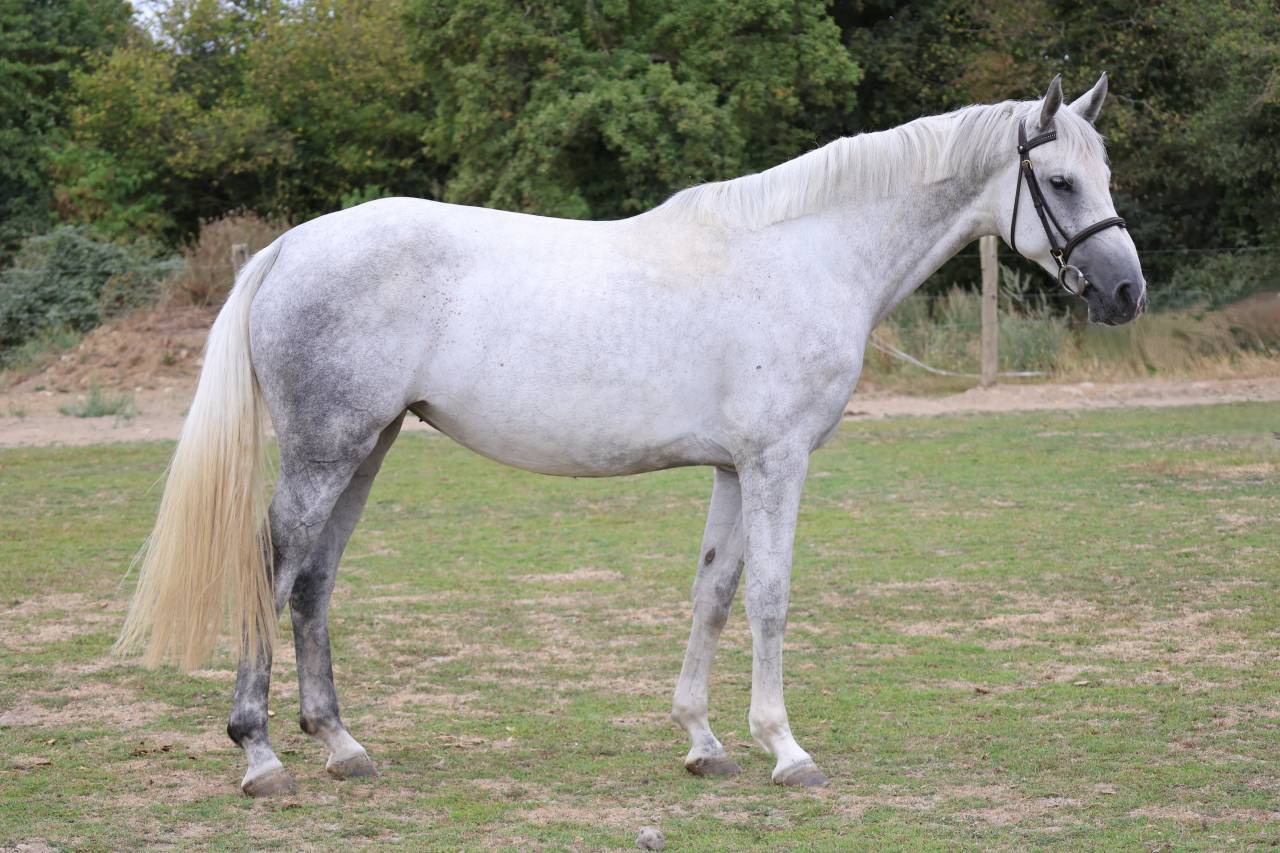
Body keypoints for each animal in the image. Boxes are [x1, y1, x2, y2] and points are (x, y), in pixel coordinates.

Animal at [117, 74, 1145, 796]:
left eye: (1104, 175)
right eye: (1058, 180)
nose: (1126, 290)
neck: (806, 253)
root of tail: (291, 245)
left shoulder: (734, 468)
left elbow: (715, 595)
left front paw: (705, 742)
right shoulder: (776, 463)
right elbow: (771, 597)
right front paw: (787, 750)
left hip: (366, 449)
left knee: (314, 581)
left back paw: (340, 744)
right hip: (326, 449)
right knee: (273, 569)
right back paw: (259, 756)